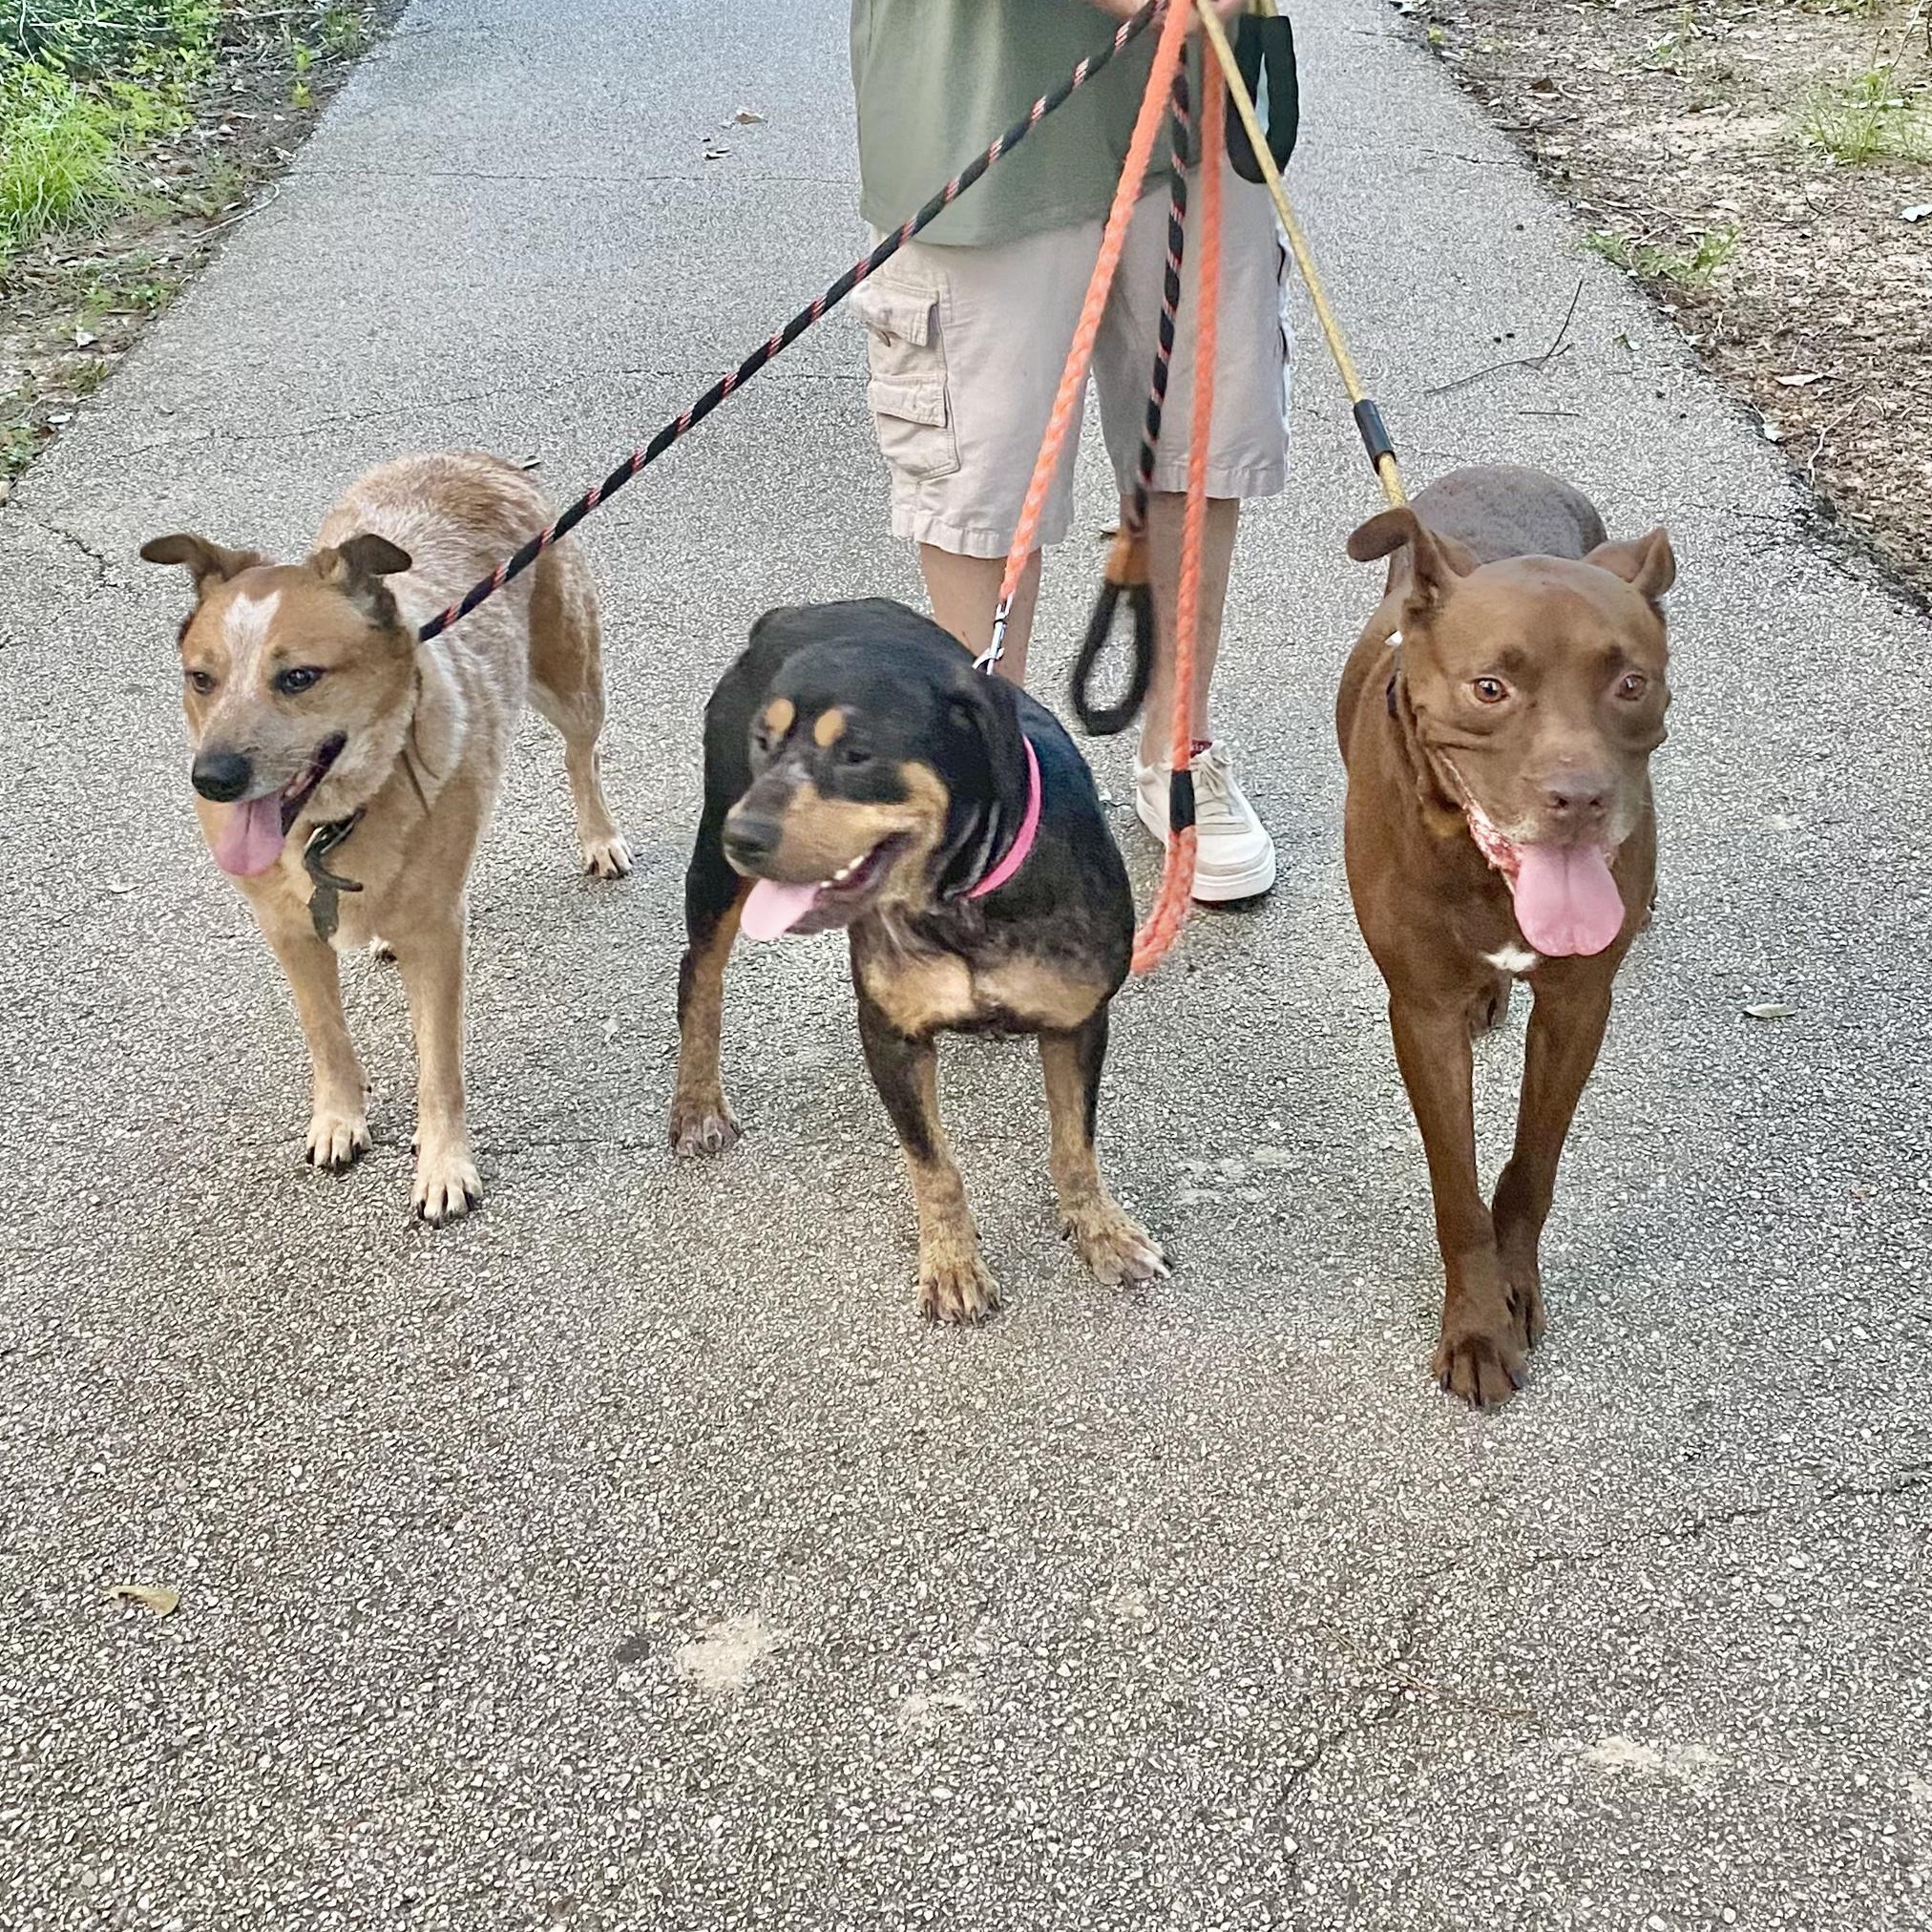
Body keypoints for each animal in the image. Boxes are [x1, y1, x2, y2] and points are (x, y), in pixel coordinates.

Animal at [142, 450, 630, 1222]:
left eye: (298, 677)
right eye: (201, 679)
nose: (212, 780)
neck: (333, 823)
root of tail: (470, 457)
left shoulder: (438, 934)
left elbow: (439, 1067)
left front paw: (444, 1164)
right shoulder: (289, 933)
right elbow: (326, 1036)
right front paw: (339, 1118)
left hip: (572, 685)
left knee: (581, 756)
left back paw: (600, 837)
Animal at [669, 598, 1166, 1320]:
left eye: (856, 754)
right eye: (765, 742)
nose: (746, 835)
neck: (962, 895)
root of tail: (793, 613)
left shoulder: (1078, 1023)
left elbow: (1075, 1143)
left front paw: (1100, 1231)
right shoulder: (891, 1037)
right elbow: (934, 1166)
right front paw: (953, 1264)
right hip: (714, 869)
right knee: (699, 979)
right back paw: (698, 1102)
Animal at [1336, 464, 1674, 1405]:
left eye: (1630, 683)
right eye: (1490, 688)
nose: (1581, 799)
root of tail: (1505, 469)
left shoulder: (1579, 1002)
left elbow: (1533, 1166)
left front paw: (1515, 1285)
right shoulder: (1421, 1012)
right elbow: (1456, 1187)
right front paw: (1478, 1326)